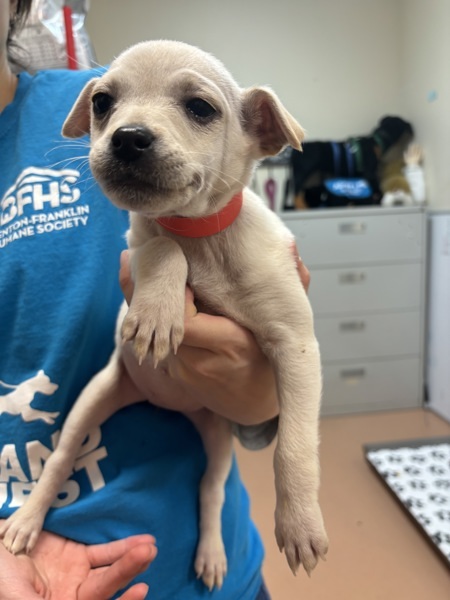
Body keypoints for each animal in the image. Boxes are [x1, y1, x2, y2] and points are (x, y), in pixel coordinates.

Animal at [1, 41, 328, 592]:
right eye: (103, 102)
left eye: (200, 108)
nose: (128, 137)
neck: (201, 237)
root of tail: (172, 404)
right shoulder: (137, 246)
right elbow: (161, 247)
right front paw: (158, 313)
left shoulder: (296, 347)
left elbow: (294, 444)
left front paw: (301, 521)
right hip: (94, 399)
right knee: (59, 461)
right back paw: (27, 520)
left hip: (219, 441)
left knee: (210, 490)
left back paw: (212, 553)